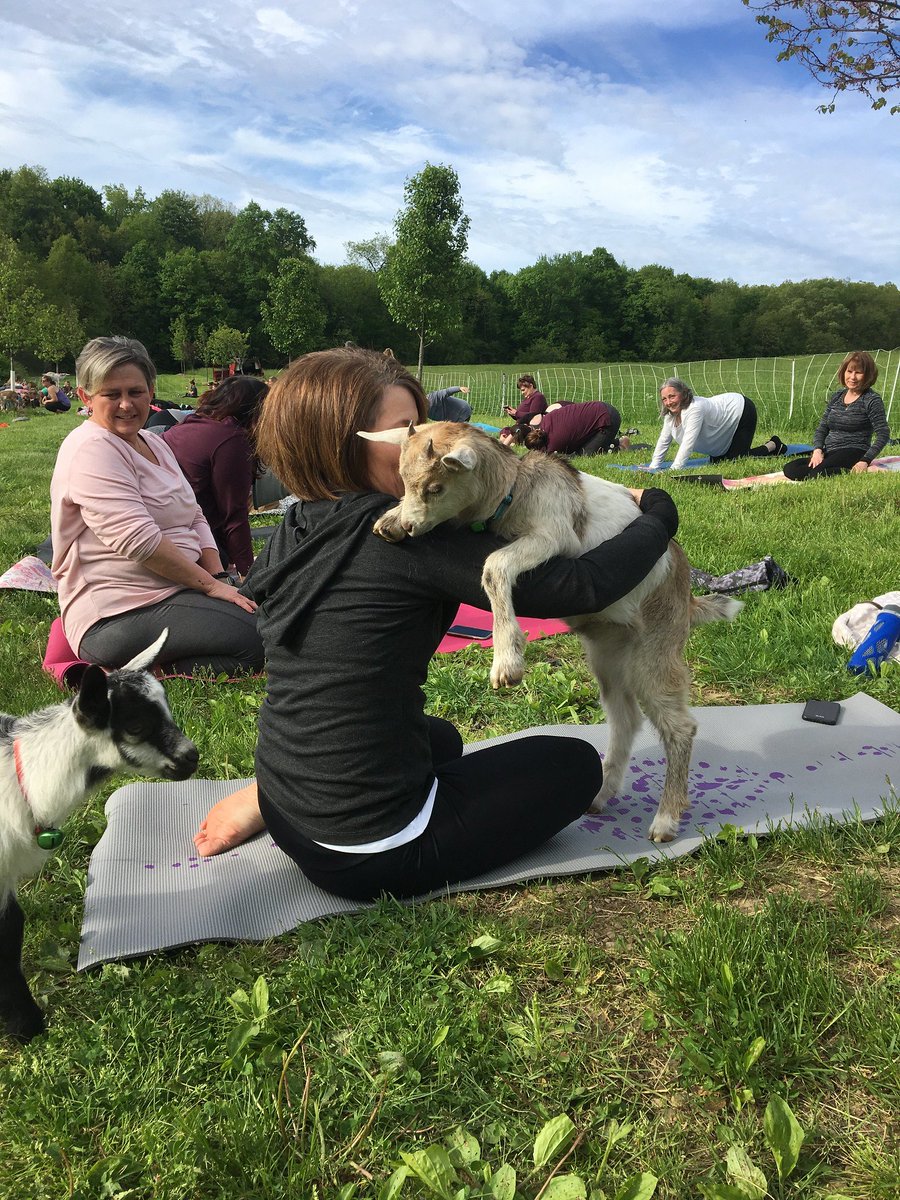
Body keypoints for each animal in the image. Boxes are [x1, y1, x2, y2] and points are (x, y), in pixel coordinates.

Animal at [359, 422, 741, 845]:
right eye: (404, 481)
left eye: (436, 488)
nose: (411, 526)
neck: (517, 489)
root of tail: (687, 593)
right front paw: (391, 518)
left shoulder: (554, 537)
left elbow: (494, 565)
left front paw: (507, 663)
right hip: (609, 655)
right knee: (625, 720)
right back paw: (602, 794)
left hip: (655, 650)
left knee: (680, 726)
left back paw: (666, 819)